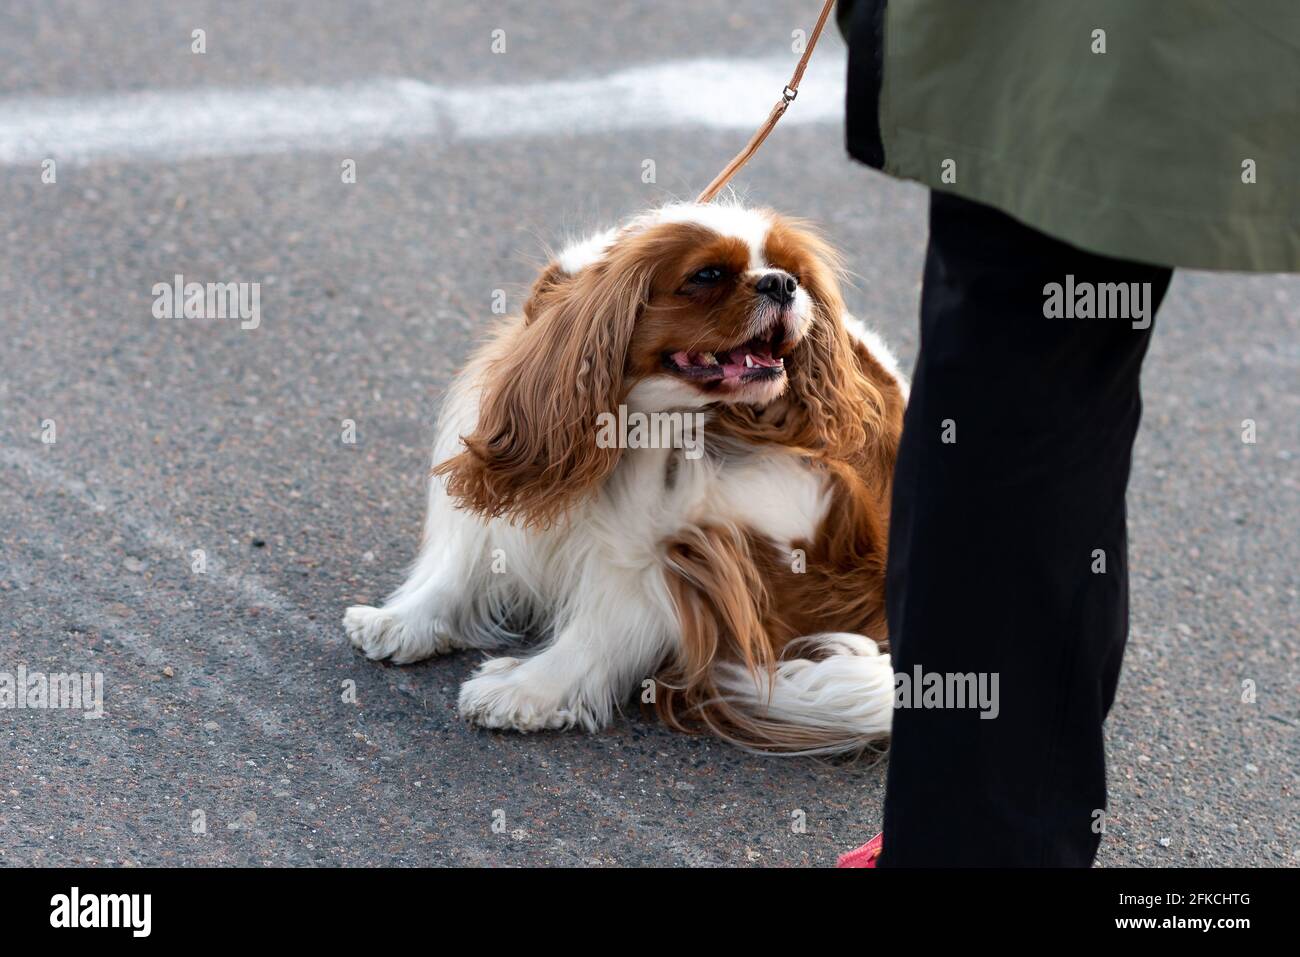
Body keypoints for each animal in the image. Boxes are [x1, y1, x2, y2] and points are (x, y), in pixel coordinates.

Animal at [348, 201, 915, 754]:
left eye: (793, 272)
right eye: (707, 275)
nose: (781, 283)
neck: (640, 420)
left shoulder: (674, 551)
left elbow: (600, 628)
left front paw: (527, 690)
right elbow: (462, 563)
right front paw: (401, 621)